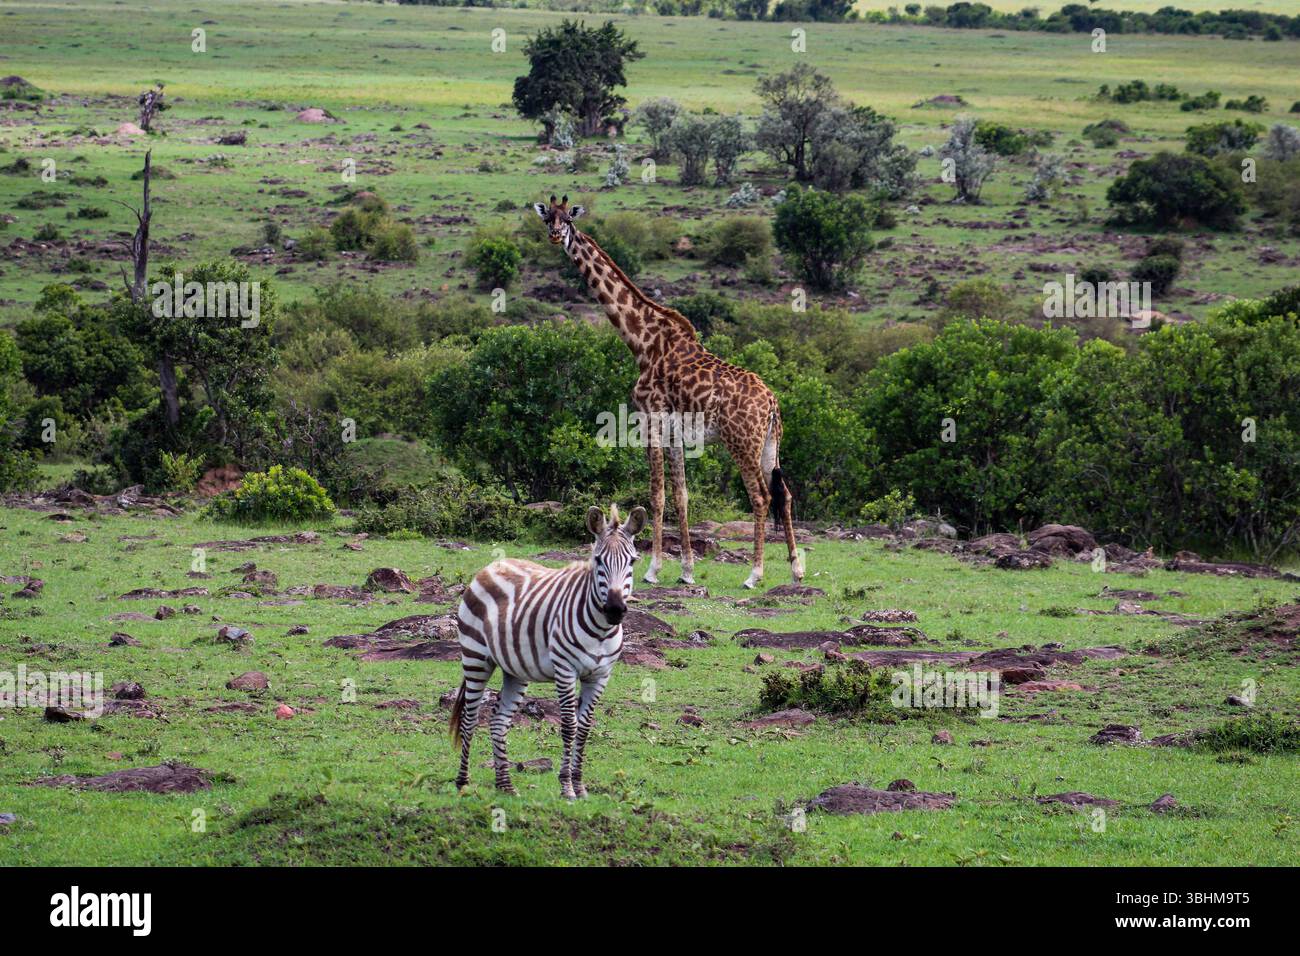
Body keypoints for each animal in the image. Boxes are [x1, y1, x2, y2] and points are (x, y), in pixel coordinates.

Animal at [450, 503, 646, 798]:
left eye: (632, 561)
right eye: (598, 560)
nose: (614, 610)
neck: (601, 632)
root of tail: (494, 564)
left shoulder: (600, 675)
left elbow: (584, 728)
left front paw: (580, 785)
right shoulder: (565, 670)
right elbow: (569, 727)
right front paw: (567, 788)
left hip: (515, 669)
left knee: (498, 721)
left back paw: (505, 786)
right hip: (475, 658)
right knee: (470, 718)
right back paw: (462, 783)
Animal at [533, 195, 803, 589]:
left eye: (568, 218)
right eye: (547, 218)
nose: (555, 235)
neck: (641, 340)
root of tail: (771, 403)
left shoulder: (650, 417)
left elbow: (657, 495)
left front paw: (653, 569)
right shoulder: (676, 430)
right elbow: (681, 496)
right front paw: (687, 570)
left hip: (742, 442)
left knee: (760, 496)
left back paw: (754, 574)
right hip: (770, 444)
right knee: (785, 493)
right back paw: (797, 569)